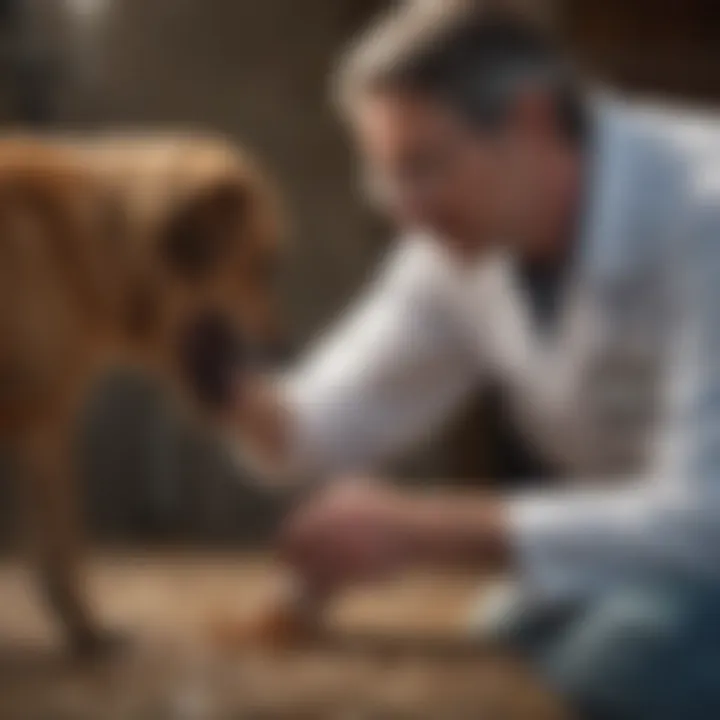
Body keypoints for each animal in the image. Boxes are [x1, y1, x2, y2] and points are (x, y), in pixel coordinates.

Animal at [0, 132, 282, 656]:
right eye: (262, 265)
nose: (283, 344)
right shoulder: (45, 420)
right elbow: (62, 544)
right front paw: (86, 631)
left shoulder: (39, 421)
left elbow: (54, 551)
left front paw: (80, 629)